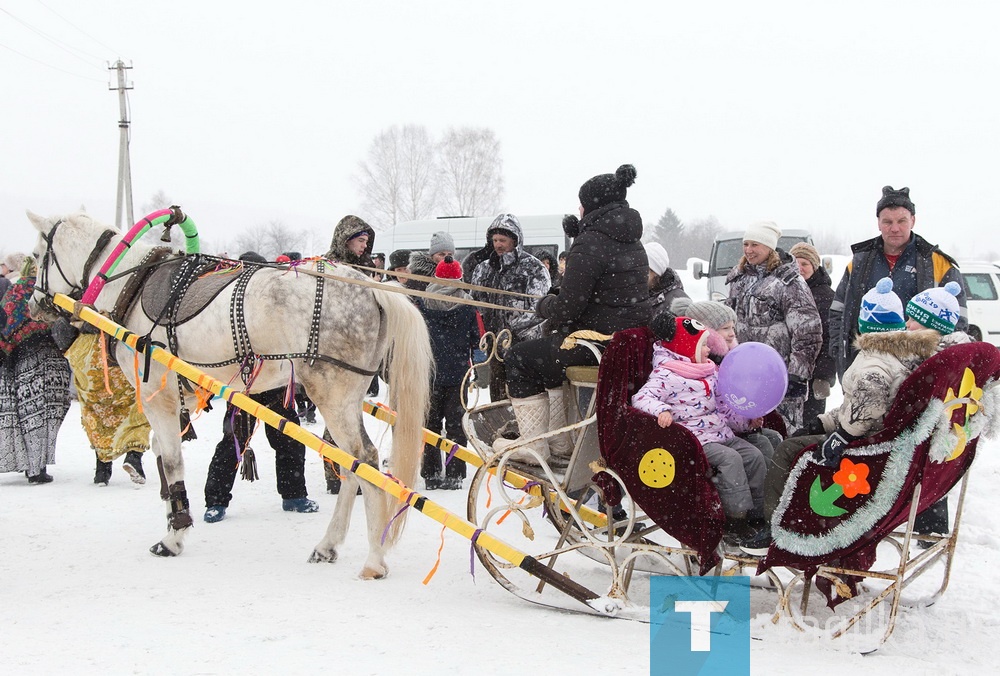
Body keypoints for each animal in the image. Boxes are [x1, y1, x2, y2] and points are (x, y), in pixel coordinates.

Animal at [27, 209, 432, 580]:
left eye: (36, 256)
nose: (33, 303)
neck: (130, 281)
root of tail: (371, 286)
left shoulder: (157, 395)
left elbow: (171, 461)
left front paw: (174, 534)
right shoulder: (182, 396)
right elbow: (162, 453)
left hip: (331, 393)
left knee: (365, 460)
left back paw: (374, 560)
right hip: (344, 398)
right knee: (351, 464)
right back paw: (328, 546)